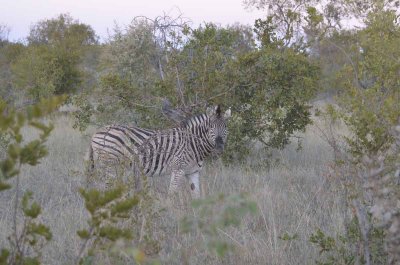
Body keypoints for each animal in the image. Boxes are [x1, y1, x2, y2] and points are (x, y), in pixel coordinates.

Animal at [86, 105, 231, 198]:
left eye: (225, 127)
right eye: (211, 127)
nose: (219, 147)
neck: (193, 144)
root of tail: (96, 132)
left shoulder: (193, 172)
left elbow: (197, 195)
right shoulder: (178, 169)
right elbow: (171, 195)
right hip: (110, 164)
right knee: (107, 188)